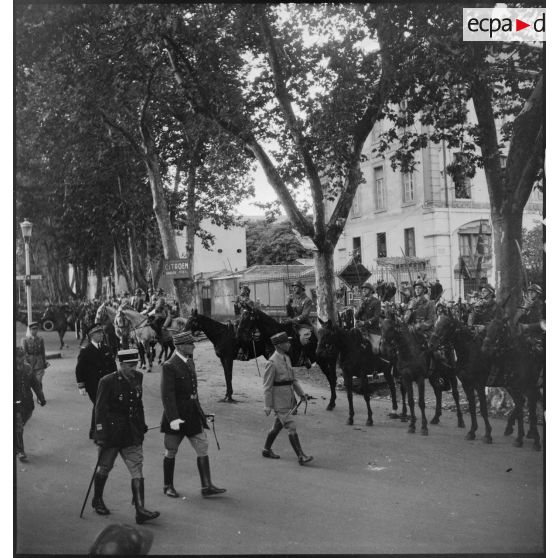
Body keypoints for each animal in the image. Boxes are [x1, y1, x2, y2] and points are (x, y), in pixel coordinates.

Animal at [482, 317, 542, 451]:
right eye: (488, 328)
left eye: (499, 330)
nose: (485, 348)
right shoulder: (515, 388)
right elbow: (520, 410)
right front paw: (519, 438)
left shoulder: (530, 390)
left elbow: (530, 412)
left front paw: (536, 441)